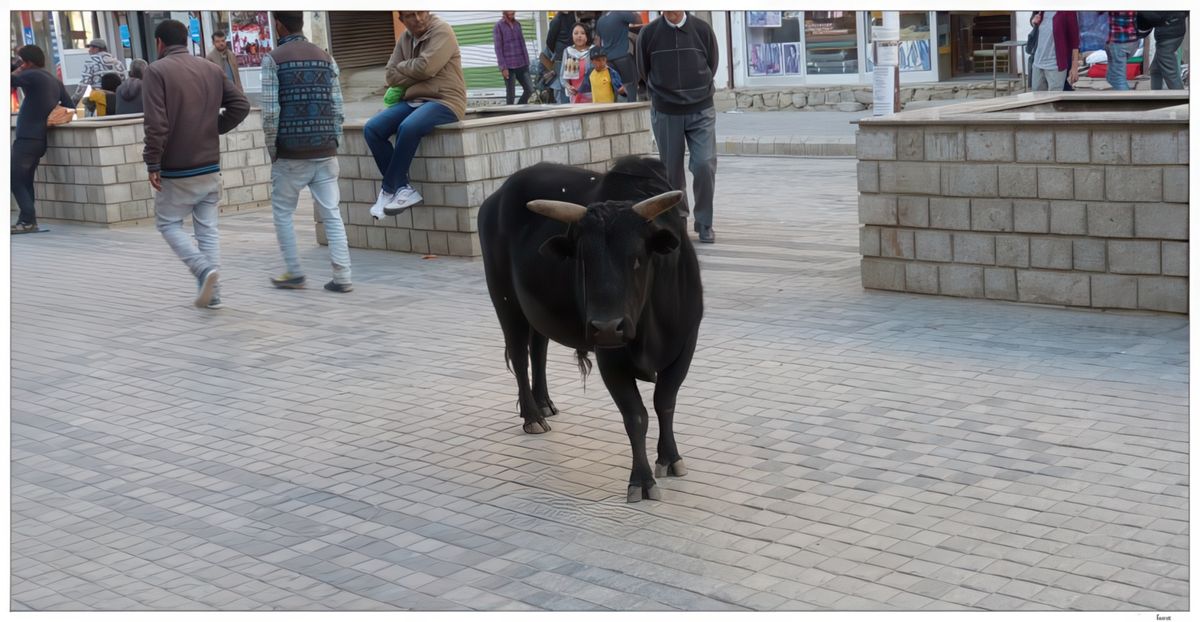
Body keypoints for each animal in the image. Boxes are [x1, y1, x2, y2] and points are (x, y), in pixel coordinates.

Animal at [478, 155, 703, 502]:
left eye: (636, 258)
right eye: (583, 260)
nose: (608, 327)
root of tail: (496, 197)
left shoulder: (685, 344)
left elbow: (665, 402)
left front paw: (670, 458)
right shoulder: (610, 357)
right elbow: (635, 415)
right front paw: (642, 481)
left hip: (536, 306)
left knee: (538, 348)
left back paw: (545, 403)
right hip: (505, 300)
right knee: (518, 354)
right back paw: (532, 416)